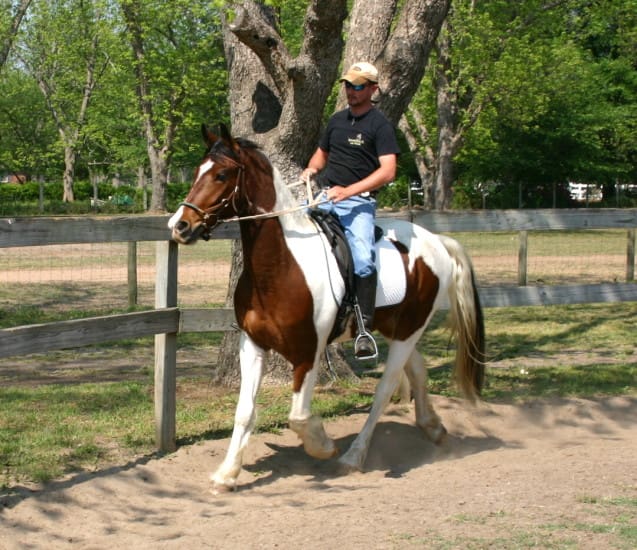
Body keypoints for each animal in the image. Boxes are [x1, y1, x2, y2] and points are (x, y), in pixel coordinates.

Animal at [166, 126, 484, 496]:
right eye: (198, 170)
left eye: (221, 174)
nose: (180, 226)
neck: (282, 266)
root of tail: (437, 242)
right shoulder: (253, 345)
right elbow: (245, 411)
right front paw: (226, 474)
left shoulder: (309, 352)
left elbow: (298, 417)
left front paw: (323, 445)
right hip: (398, 328)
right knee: (417, 370)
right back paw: (432, 427)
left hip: (410, 329)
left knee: (385, 388)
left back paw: (353, 457)